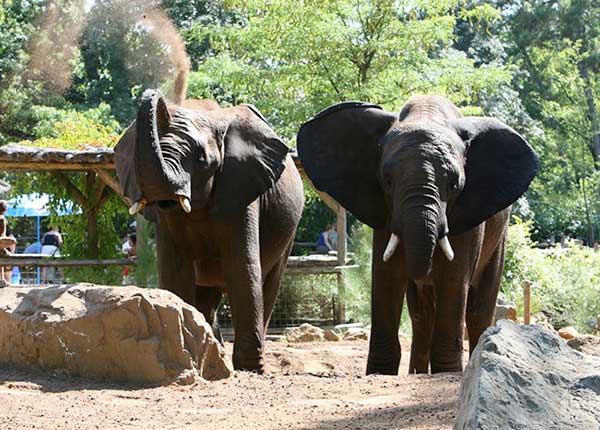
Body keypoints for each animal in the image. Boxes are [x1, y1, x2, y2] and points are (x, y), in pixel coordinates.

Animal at [115, 89, 304, 372]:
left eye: (202, 160)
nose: (157, 94)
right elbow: (175, 272)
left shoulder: (240, 189)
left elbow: (241, 266)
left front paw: (248, 369)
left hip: (289, 232)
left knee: (269, 282)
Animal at [300, 95, 540, 374]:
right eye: (387, 181)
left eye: (454, 184)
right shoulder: (386, 213)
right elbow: (387, 276)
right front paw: (381, 372)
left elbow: (453, 278)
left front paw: (448, 372)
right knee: (422, 315)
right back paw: (418, 371)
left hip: (500, 237)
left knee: (478, 308)